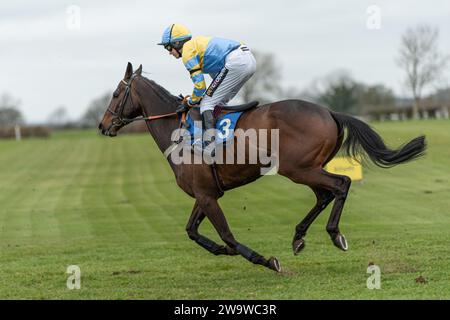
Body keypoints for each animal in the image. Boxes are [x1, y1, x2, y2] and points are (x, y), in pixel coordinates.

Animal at [97, 63, 426, 272]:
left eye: (115, 94)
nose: (102, 125)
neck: (177, 129)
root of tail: (329, 111)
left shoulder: (206, 196)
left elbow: (226, 235)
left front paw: (266, 260)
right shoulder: (206, 193)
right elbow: (191, 230)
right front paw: (223, 251)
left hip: (297, 168)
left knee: (340, 184)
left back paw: (334, 234)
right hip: (306, 168)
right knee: (324, 194)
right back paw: (298, 237)